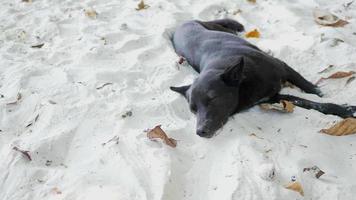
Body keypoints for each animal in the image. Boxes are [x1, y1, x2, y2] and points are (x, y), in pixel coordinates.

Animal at [170, 18, 356, 138]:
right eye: (193, 110)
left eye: (213, 99)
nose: (200, 132)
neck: (245, 82)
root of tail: (182, 24)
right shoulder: (276, 98)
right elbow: (311, 104)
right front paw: (345, 110)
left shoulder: (283, 67)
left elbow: (309, 89)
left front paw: (323, 95)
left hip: (220, 29)